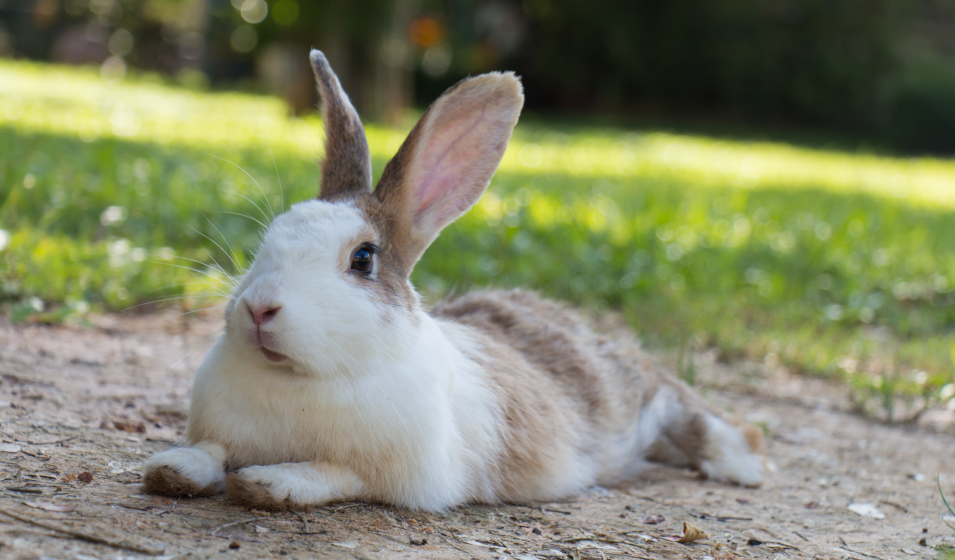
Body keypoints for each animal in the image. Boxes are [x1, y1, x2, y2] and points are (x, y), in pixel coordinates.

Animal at [142, 49, 763, 512]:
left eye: (363, 259)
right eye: (270, 238)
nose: (260, 309)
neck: (296, 378)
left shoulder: (399, 474)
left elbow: (330, 473)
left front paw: (268, 482)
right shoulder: (222, 431)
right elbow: (211, 452)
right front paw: (172, 467)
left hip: (646, 398)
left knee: (690, 411)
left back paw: (745, 468)